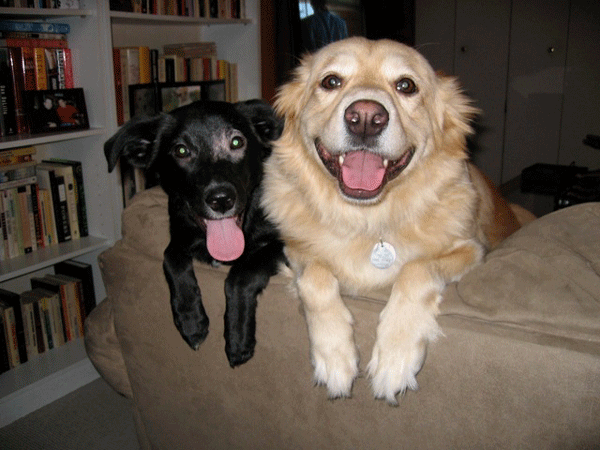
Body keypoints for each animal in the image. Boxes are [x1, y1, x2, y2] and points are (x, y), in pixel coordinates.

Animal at [105, 99, 286, 366]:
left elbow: (240, 274)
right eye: (181, 151)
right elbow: (170, 258)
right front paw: (191, 320)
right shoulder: (180, 233)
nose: (221, 199)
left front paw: (238, 338)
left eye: (237, 142)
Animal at [260, 37, 532, 404]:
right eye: (331, 81)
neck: (368, 217)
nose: (365, 117)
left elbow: (416, 269)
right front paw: (335, 356)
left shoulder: (472, 250)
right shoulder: (294, 250)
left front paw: (395, 357)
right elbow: (315, 277)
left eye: (406, 85)